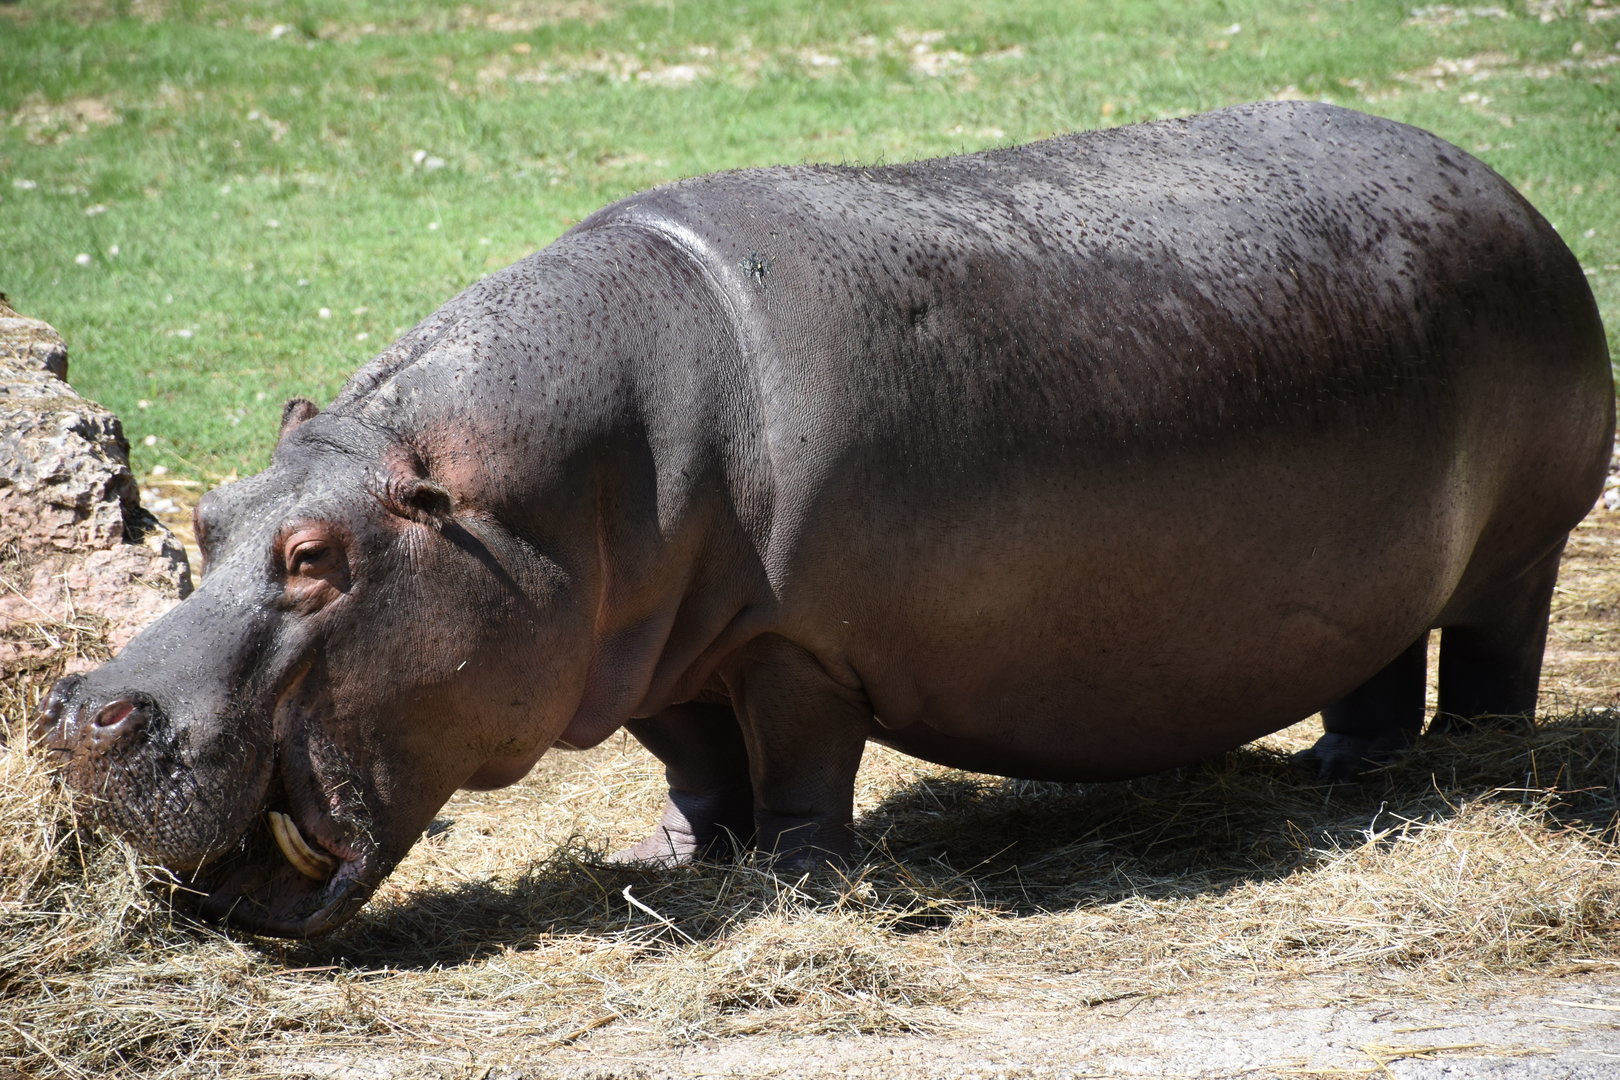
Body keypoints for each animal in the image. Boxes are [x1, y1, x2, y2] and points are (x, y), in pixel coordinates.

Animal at [35, 101, 1613, 937]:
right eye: (217, 514)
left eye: (318, 558)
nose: (83, 711)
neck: (521, 495)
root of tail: (1503, 186)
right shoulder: (659, 650)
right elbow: (692, 763)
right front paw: (674, 862)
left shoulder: (794, 646)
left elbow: (798, 763)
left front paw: (794, 876)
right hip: (1391, 561)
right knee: (1376, 660)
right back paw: (1348, 769)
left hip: (1524, 547)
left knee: (1492, 654)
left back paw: (1465, 771)